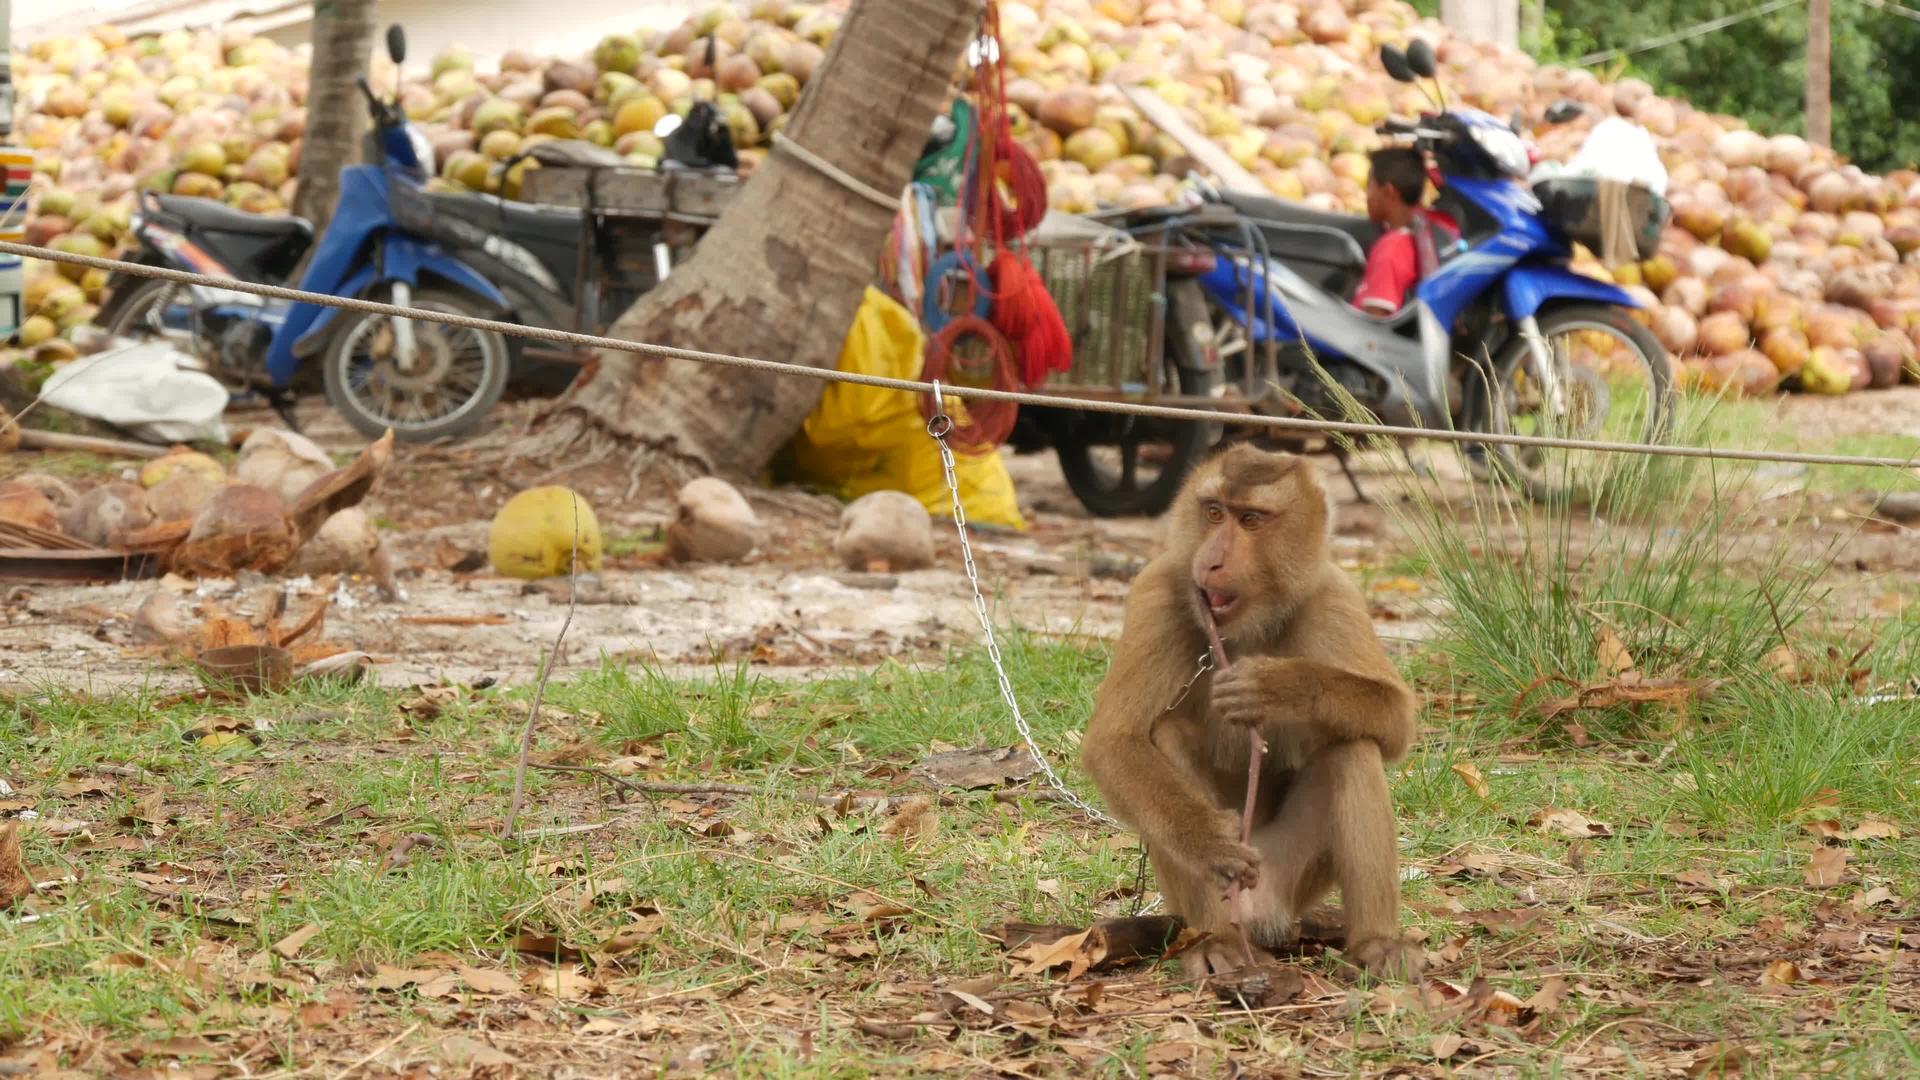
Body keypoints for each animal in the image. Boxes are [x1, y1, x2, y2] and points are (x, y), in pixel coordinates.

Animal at [1082, 441, 1428, 980]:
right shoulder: (1157, 592)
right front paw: (1207, 841)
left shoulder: (1332, 595)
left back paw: (1376, 942)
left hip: (1291, 878)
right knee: (1167, 735)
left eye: (1250, 519)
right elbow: (1116, 742)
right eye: (1213, 512)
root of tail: (1262, 917)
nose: (1212, 562)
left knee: (1351, 743)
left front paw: (1280, 685)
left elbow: (1394, 721)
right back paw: (1220, 942)